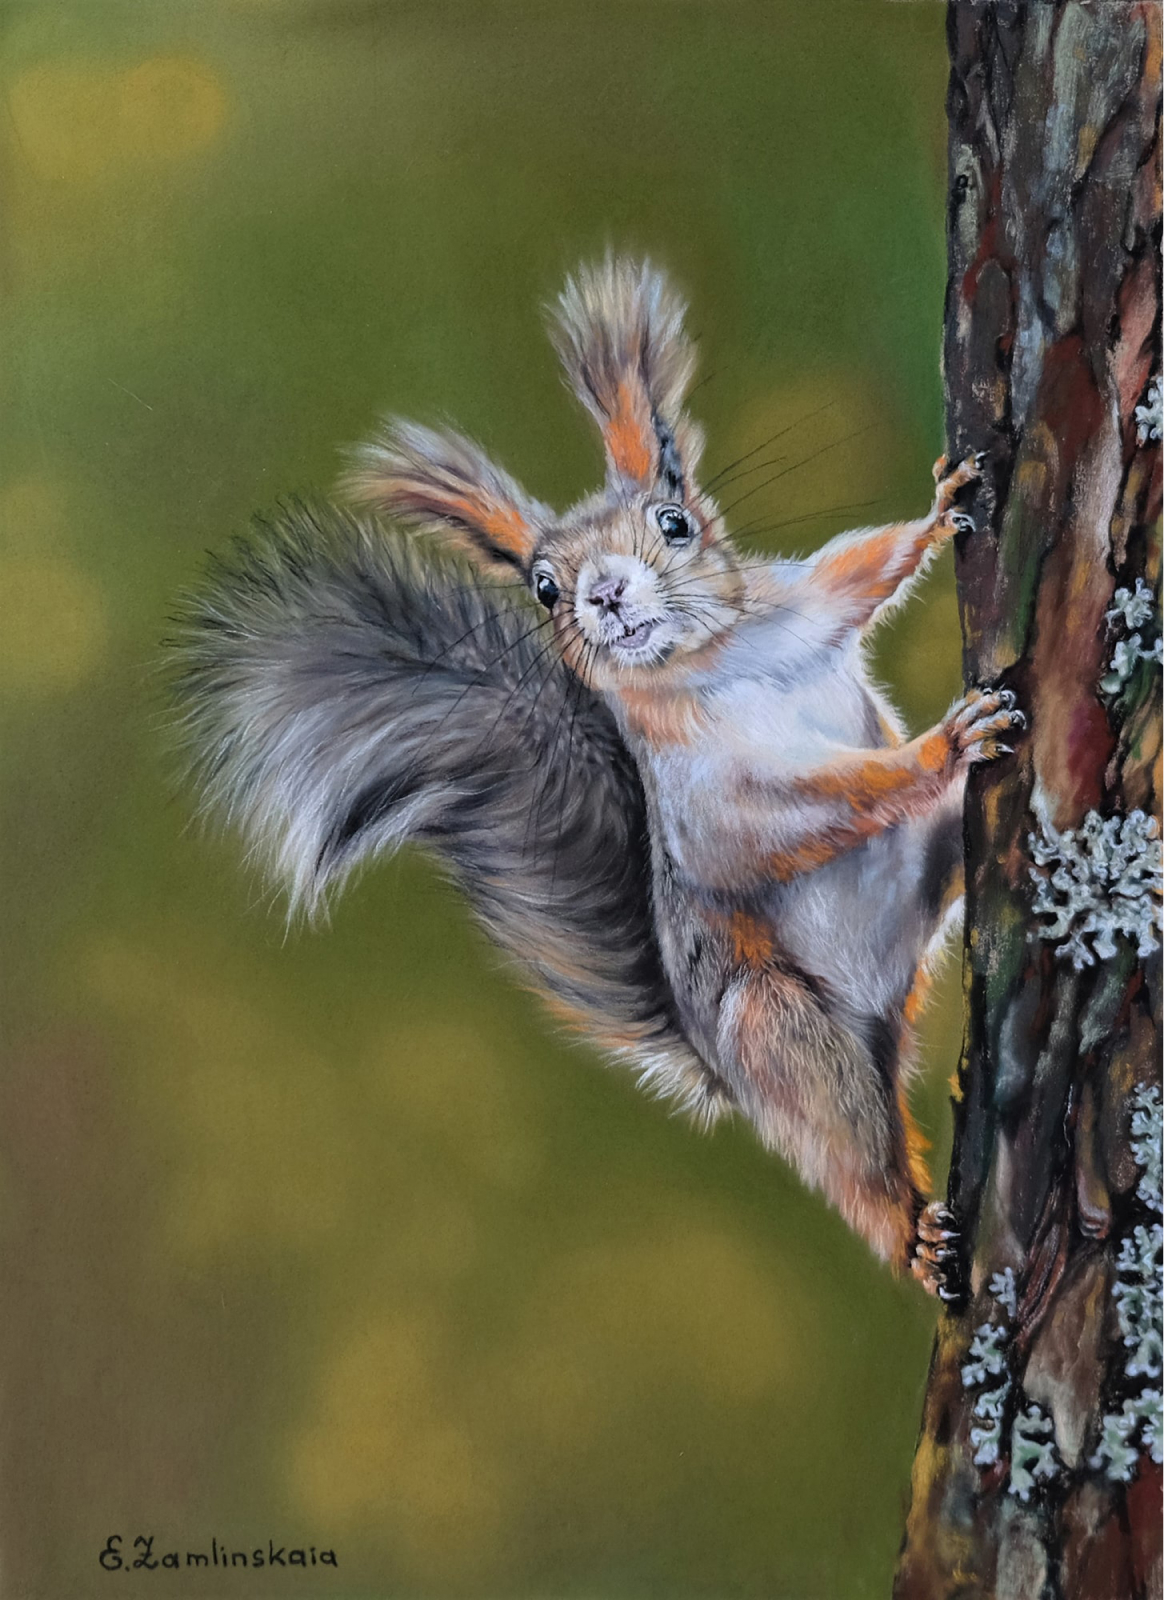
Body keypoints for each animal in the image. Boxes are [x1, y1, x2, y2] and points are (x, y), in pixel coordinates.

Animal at [167, 256, 1023, 1292]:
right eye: (542, 587)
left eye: (676, 523)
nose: (604, 592)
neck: (715, 662)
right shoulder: (703, 799)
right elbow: (786, 820)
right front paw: (939, 746)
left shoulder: (802, 604)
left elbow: (860, 568)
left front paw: (943, 508)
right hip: (777, 1034)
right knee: (849, 1151)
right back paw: (910, 1231)